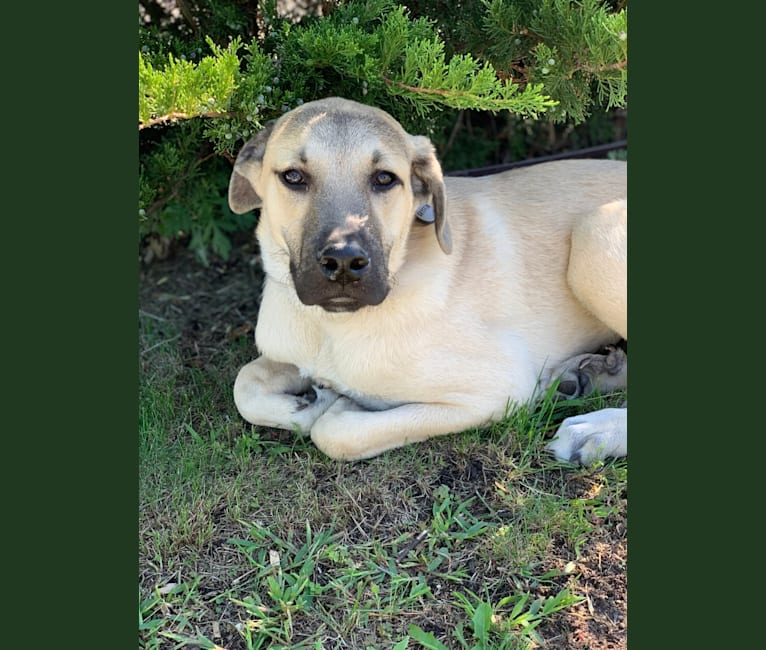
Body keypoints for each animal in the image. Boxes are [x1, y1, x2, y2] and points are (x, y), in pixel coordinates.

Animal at [225, 96, 628, 460]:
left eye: (384, 179)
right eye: (293, 177)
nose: (343, 262)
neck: (329, 327)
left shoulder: (500, 387)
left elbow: (335, 433)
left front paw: (336, 403)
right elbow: (244, 383)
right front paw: (306, 404)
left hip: (594, 235)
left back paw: (597, 430)